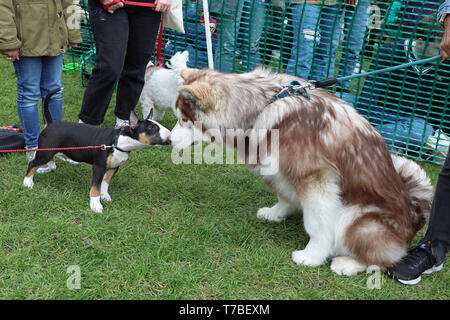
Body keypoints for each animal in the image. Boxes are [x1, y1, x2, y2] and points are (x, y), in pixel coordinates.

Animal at [171, 67, 434, 276]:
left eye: (184, 119)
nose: (169, 140)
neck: (264, 104)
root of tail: (415, 213)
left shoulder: (316, 181)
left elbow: (317, 224)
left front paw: (312, 256)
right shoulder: (280, 171)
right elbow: (284, 196)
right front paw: (276, 213)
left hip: (357, 219)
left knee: (387, 258)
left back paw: (348, 264)